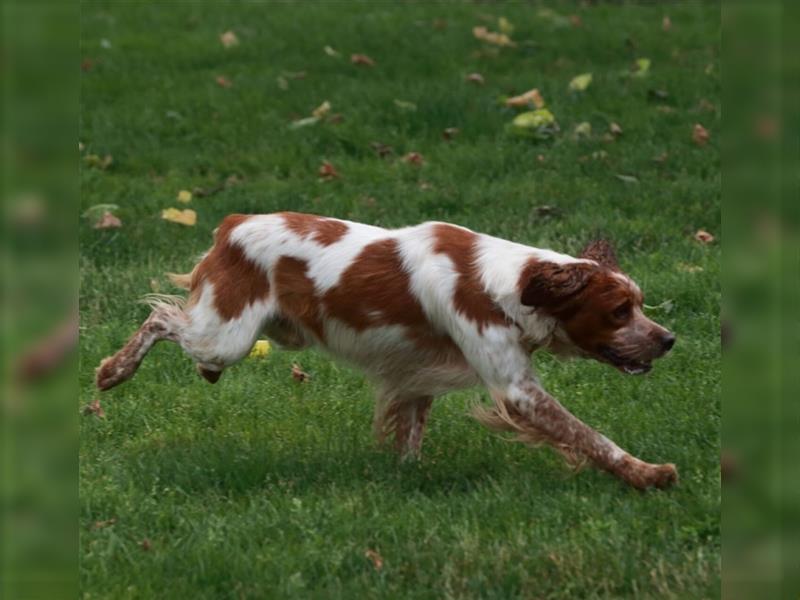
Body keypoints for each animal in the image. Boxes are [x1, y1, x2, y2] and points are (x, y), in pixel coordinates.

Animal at [97, 213, 680, 490]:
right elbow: (592, 437)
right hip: (228, 337)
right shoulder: (518, 392)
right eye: (619, 311)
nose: (669, 339)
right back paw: (112, 371)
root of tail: (232, 224)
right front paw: (647, 474)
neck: (508, 284)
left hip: (266, 334)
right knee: (160, 318)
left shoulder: (418, 374)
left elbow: (410, 432)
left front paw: (406, 474)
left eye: (639, 304)